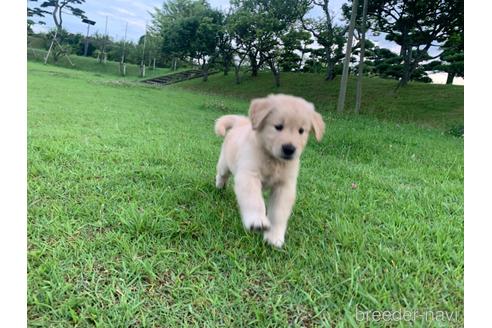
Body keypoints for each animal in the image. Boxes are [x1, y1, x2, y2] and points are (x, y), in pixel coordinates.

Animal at [213, 93, 324, 247]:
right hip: (225, 163)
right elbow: (254, 199)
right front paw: (257, 221)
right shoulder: (249, 175)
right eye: (278, 126)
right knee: (222, 174)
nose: (289, 149)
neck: (274, 160)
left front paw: (274, 237)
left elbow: (278, 213)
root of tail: (241, 122)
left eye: (301, 131)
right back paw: (219, 186)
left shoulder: (284, 186)